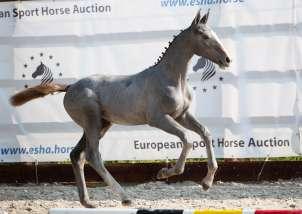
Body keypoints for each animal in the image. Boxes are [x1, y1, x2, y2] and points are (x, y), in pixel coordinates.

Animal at [9, 9, 231, 207]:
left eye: (214, 34)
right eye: (204, 36)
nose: (227, 60)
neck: (170, 78)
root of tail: (71, 87)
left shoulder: (181, 115)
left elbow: (205, 132)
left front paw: (206, 183)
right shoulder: (158, 119)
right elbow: (187, 138)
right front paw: (165, 173)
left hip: (102, 124)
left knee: (76, 155)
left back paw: (87, 202)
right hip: (92, 122)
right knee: (92, 155)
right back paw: (124, 197)